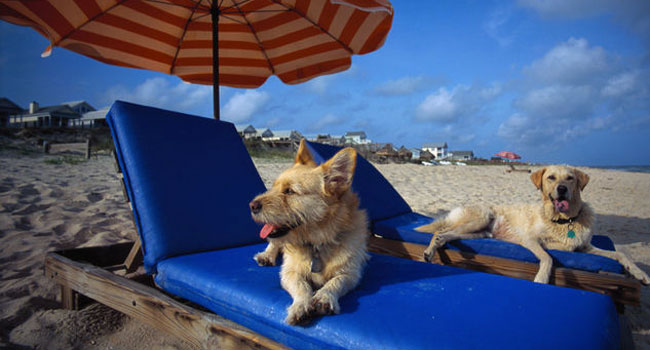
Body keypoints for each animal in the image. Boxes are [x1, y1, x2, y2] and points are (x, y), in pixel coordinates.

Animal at [249, 139, 370, 326]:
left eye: (289, 191)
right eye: (273, 187)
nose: (251, 205)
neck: (317, 241)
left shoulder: (351, 274)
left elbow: (336, 281)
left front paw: (324, 297)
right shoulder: (288, 272)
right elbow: (301, 286)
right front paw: (301, 305)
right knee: (274, 244)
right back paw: (267, 255)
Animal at [416, 166, 648, 284]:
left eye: (570, 178)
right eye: (551, 178)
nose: (562, 189)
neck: (564, 220)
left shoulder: (585, 247)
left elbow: (620, 254)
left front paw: (639, 274)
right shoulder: (530, 239)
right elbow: (547, 258)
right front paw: (541, 278)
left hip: (479, 233)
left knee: (449, 234)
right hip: (480, 217)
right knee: (440, 231)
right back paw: (429, 251)